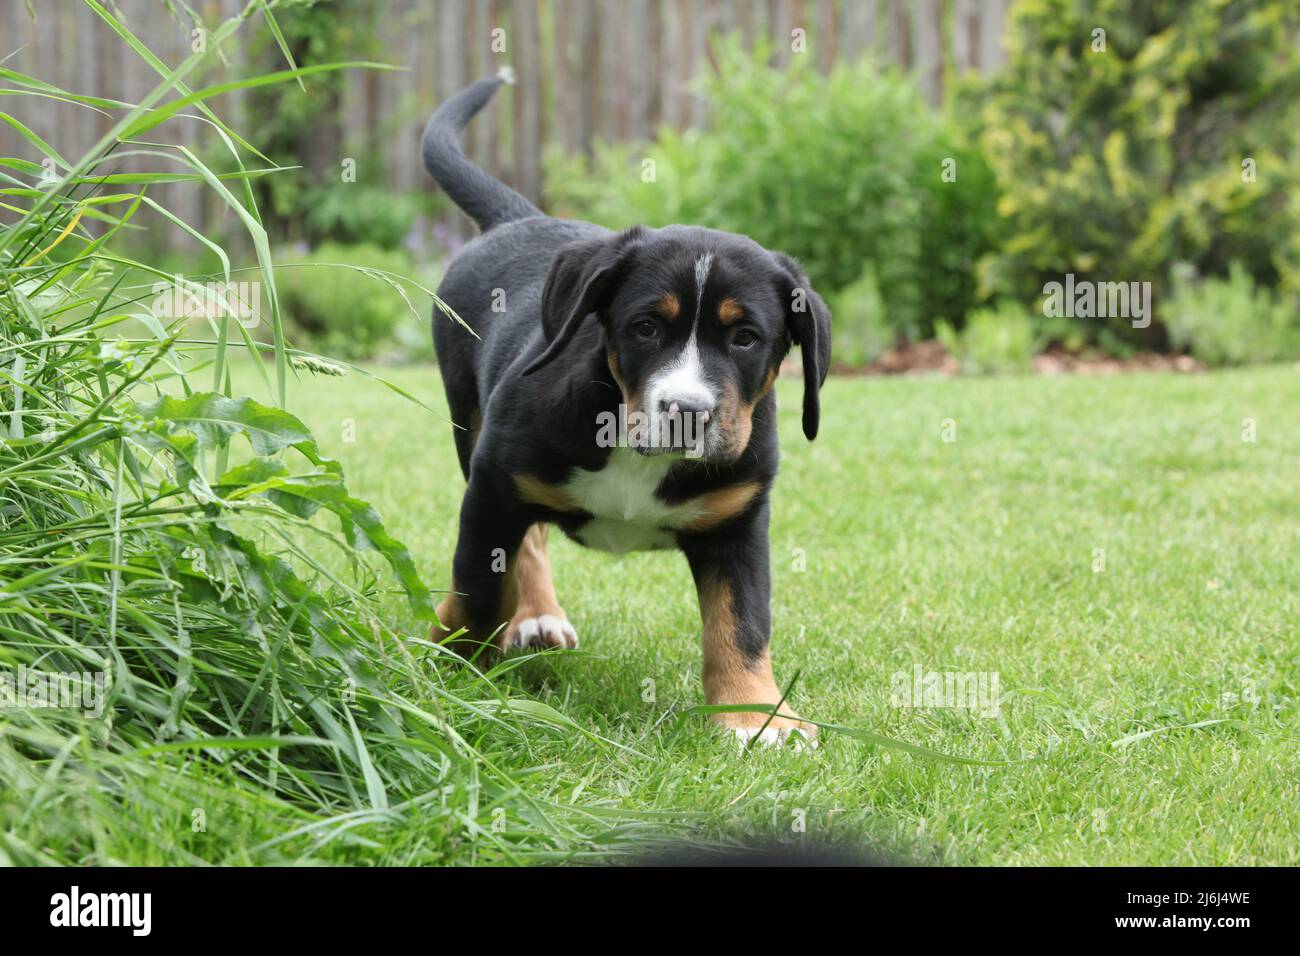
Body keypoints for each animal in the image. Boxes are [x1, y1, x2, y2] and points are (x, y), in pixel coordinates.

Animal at [423, 74, 832, 749]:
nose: (687, 410)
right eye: (646, 328)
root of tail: (523, 217)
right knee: (524, 542)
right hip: (472, 431)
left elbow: (742, 619)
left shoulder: (740, 519)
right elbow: (479, 587)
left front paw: (754, 716)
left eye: (746, 339)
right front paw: (453, 667)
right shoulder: (495, 481)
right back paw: (530, 618)